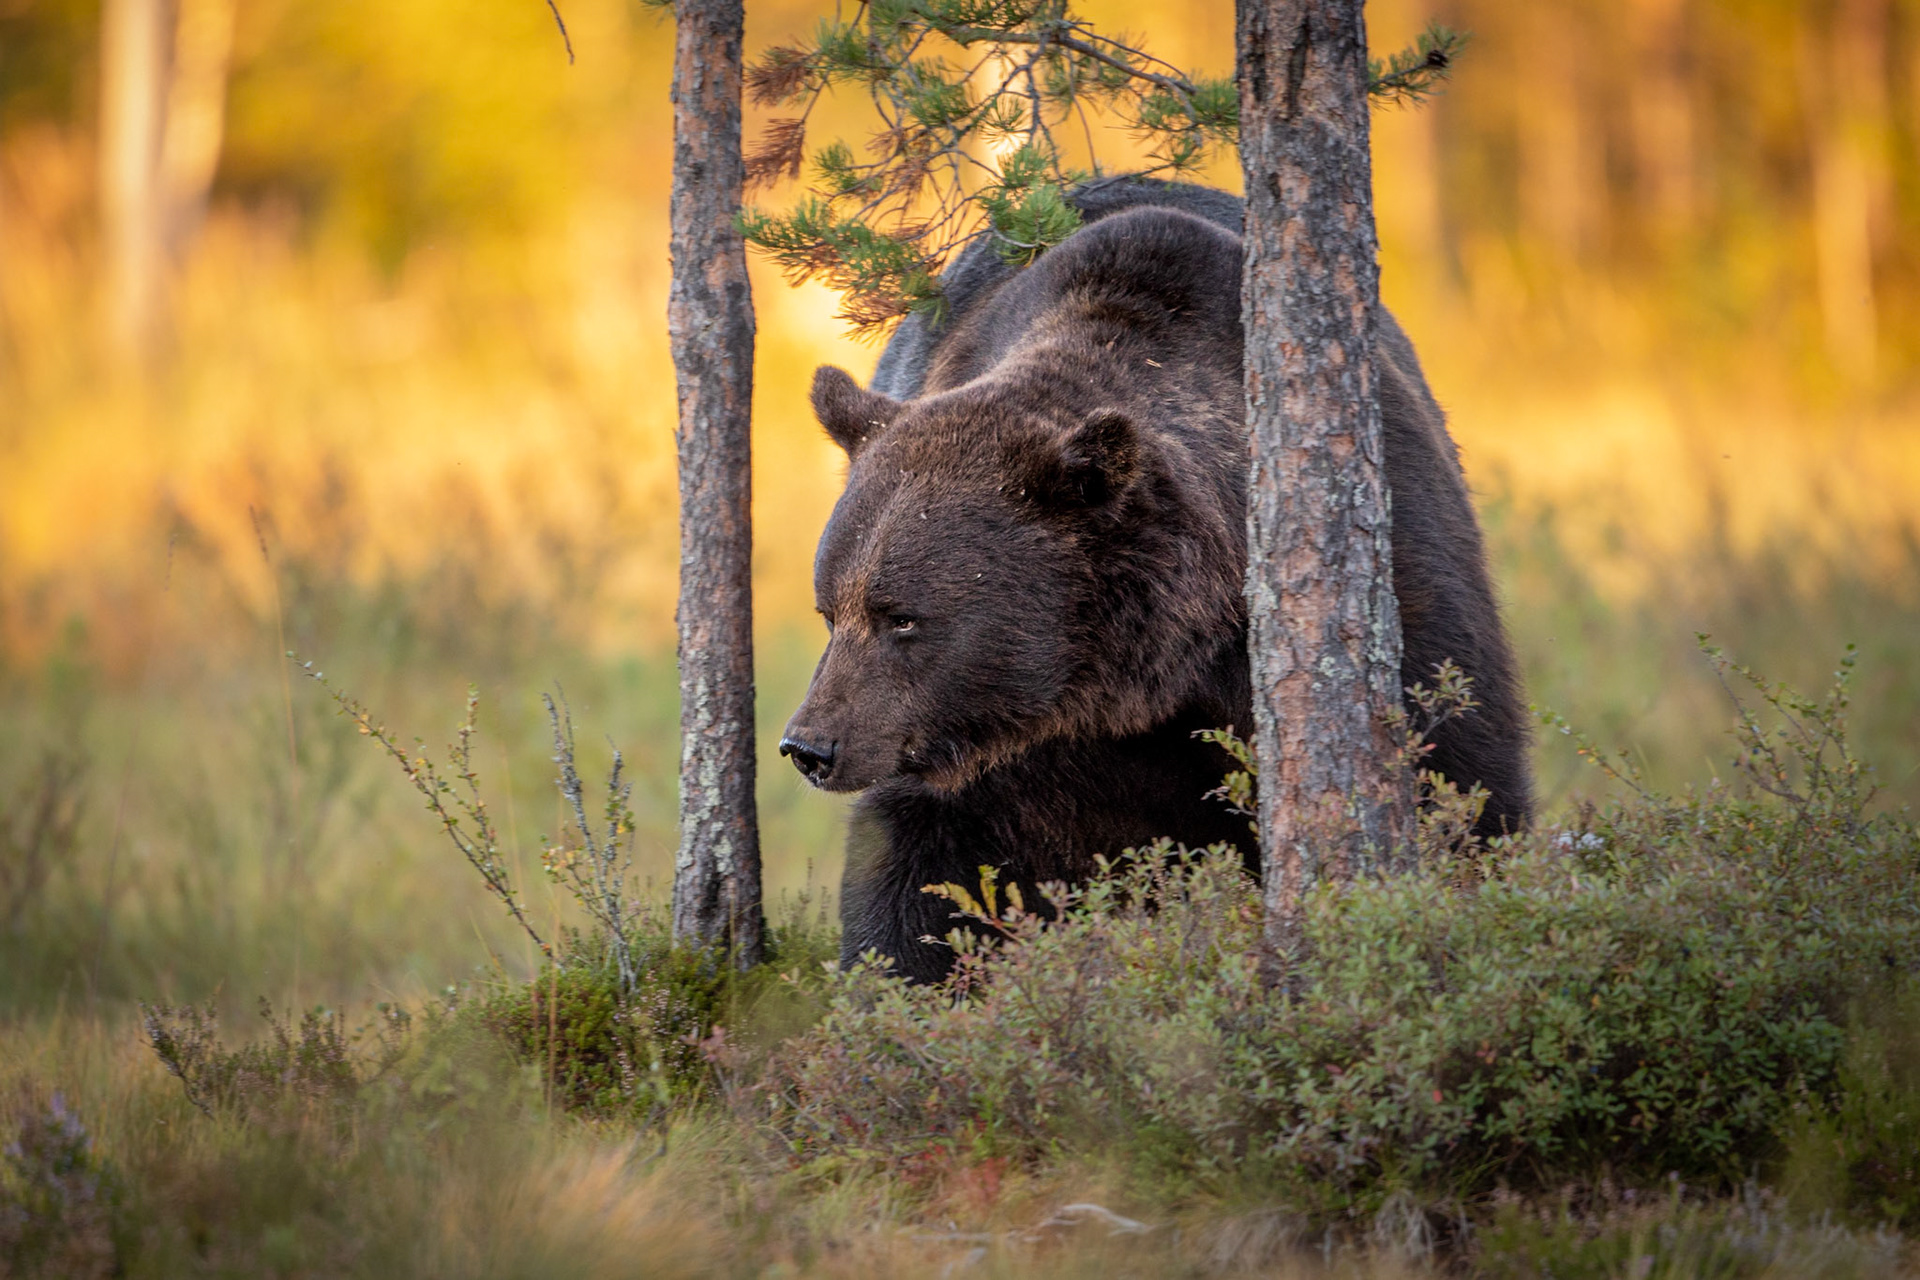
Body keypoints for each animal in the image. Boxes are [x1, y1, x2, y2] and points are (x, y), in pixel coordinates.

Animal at [780, 178, 1531, 983]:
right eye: (831, 611)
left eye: (903, 617)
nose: (809, 746)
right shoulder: (991, 749)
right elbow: (918, 870)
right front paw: (899, 976)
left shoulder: (1405, 557)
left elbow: (1460, 772)